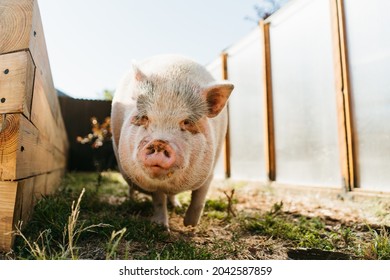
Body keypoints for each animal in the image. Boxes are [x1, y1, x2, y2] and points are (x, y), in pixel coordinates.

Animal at [112, 54, 235, 228]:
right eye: (145, 118)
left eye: (186, 122)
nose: (159, 142)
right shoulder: (153, 184)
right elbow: (158, 199)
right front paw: (161, 227)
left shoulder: (211, 168)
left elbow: (200, 197)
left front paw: (190, 225)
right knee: (131, 188)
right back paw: (131, 201)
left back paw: (177, 206)